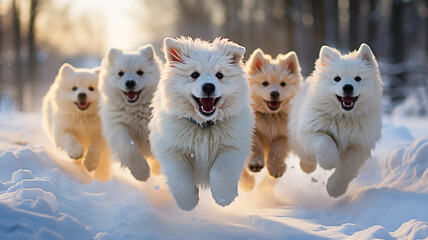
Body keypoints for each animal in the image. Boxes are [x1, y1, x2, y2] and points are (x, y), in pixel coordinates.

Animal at [99, 45, 163, 181]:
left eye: (140, 72)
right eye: (120, 73)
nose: (130, 82)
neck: (135, 109)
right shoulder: (118, 126)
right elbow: (129, 148)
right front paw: (141, 172)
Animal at [149, 36, 252, 211]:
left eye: (219, 75)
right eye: (194, 74)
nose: (209, 86)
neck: (204, 125)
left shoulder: (232, 146)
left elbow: (221, 171)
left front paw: (224, 197)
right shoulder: (171, 149)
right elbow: (180, 178)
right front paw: (188, 203)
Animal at [288, 44, 382, 198]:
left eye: (358, 78)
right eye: (337, 78)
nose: (348, 87)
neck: (343, 116)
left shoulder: (359, 145)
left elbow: (346, 169)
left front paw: (334, 190)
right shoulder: (312, 130)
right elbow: (325, 142)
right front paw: (328, 162)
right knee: (304, 153)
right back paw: (308, 166)